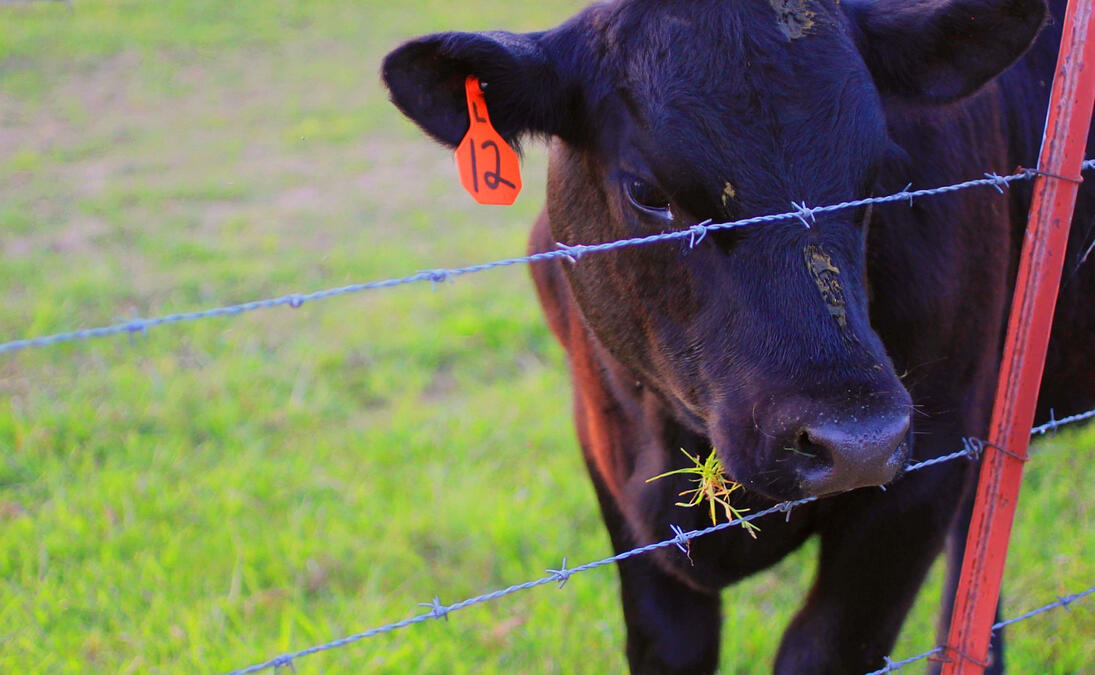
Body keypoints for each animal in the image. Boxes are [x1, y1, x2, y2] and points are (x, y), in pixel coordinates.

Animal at [382, 1, 1095, 672]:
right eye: (646, 191)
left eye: (879, 175)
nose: (859, 442)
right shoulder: (607, 456)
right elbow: (671, 644)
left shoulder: (929, 465)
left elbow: (824, 649)